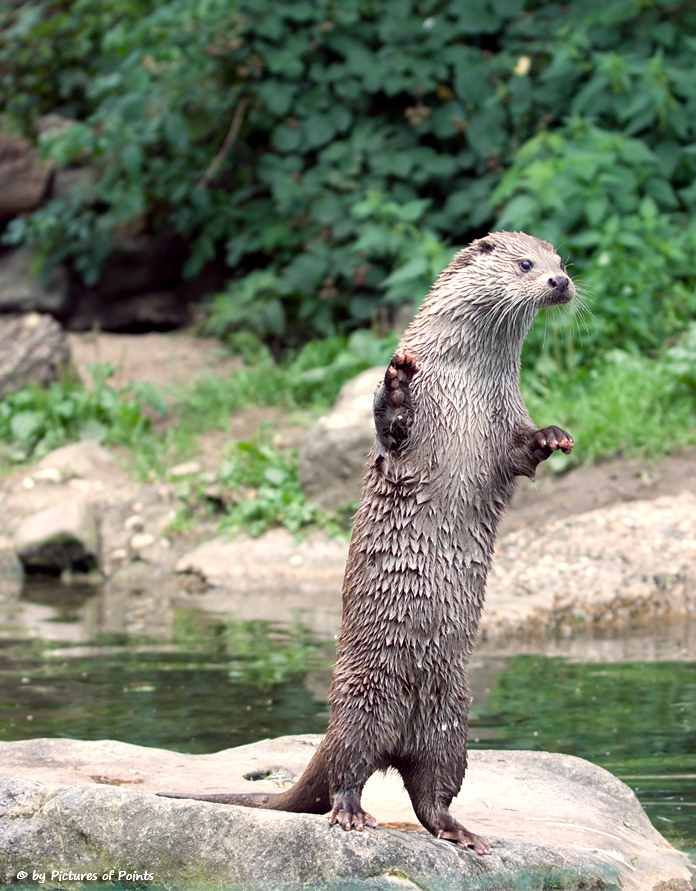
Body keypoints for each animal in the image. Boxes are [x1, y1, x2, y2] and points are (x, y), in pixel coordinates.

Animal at [160, 232, 572, 856]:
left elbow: (524, 451)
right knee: (347, 772)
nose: (560, 283)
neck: (466, 387)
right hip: (363, 701)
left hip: (451, 725)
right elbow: (391, 426)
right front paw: (396, 384)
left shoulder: (506, 421)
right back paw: (353, 815)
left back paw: (459, 831)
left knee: (431, 793)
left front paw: (555, 435)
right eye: (527, 264)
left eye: (562, 262)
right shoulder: (410, 430)